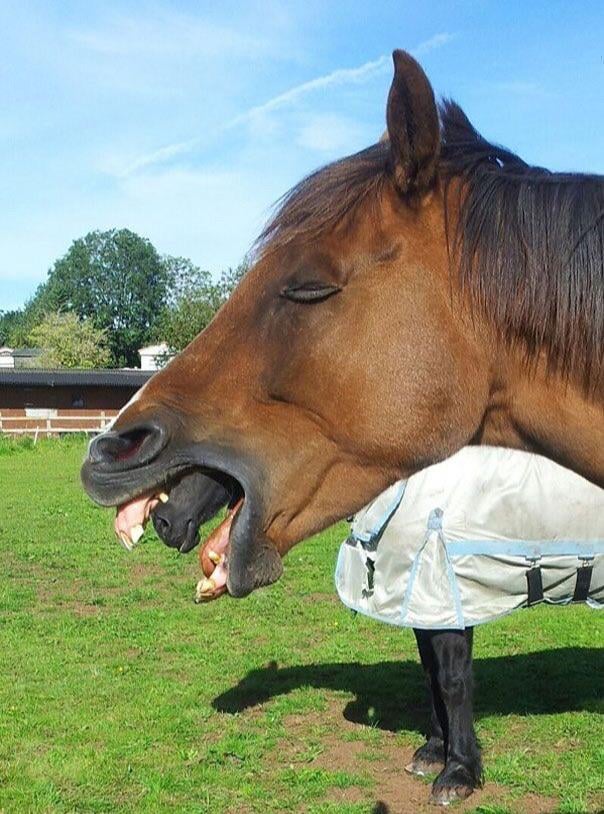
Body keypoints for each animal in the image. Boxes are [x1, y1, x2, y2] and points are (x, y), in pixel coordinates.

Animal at [81, 49, 604, 804]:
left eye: (309, 285)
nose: (111, 451)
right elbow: (431, 675)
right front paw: (435, 752)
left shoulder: (443, 597)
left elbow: (450, 677)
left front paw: (457, 771)